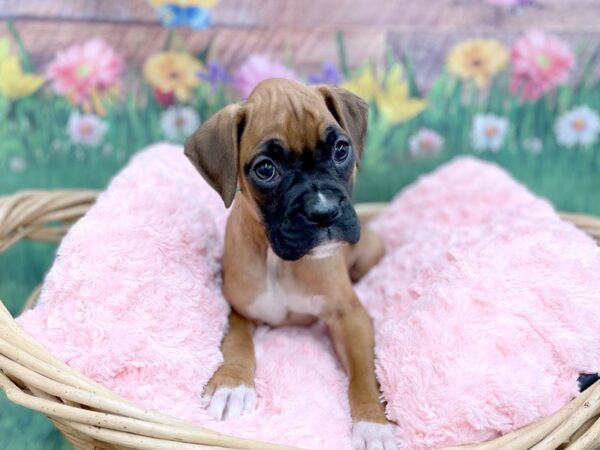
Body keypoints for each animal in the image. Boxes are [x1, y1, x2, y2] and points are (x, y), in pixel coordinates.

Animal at [185, 78, 396, 450]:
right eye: (266, 169)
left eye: (341, 150)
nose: (324, 212)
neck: (278, 260)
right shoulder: (236, 308)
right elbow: (236, 343)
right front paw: (231, 386)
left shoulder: (351, 317)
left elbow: (364, 374)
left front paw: (374, 425)